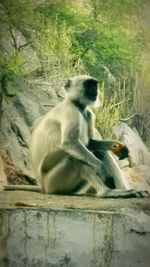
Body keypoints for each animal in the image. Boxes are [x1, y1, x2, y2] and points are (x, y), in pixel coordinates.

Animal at [4, 75, 148, 197]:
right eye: (89, 85)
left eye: (94, 85)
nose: (95, 90)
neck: (78, 106)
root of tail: (43, 187)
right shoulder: (70, 110)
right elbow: (69, 142)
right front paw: (102, 170)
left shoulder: (88, 113)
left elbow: (90, 143)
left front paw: (118, 146)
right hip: (54, 181)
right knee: (74, 156)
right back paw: (106, 192)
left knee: (98, 152)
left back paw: (123, 190)